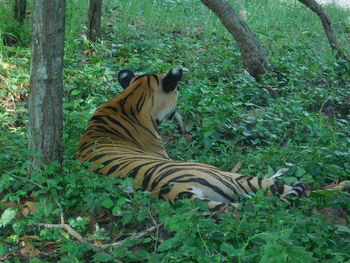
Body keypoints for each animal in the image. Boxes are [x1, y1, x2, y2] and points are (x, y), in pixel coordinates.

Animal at [77, 68, 350, 214]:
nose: (180, 115)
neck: (129, 99)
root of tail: (174, 191)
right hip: (236, 179)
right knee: (305, 191)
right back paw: (340, 186)